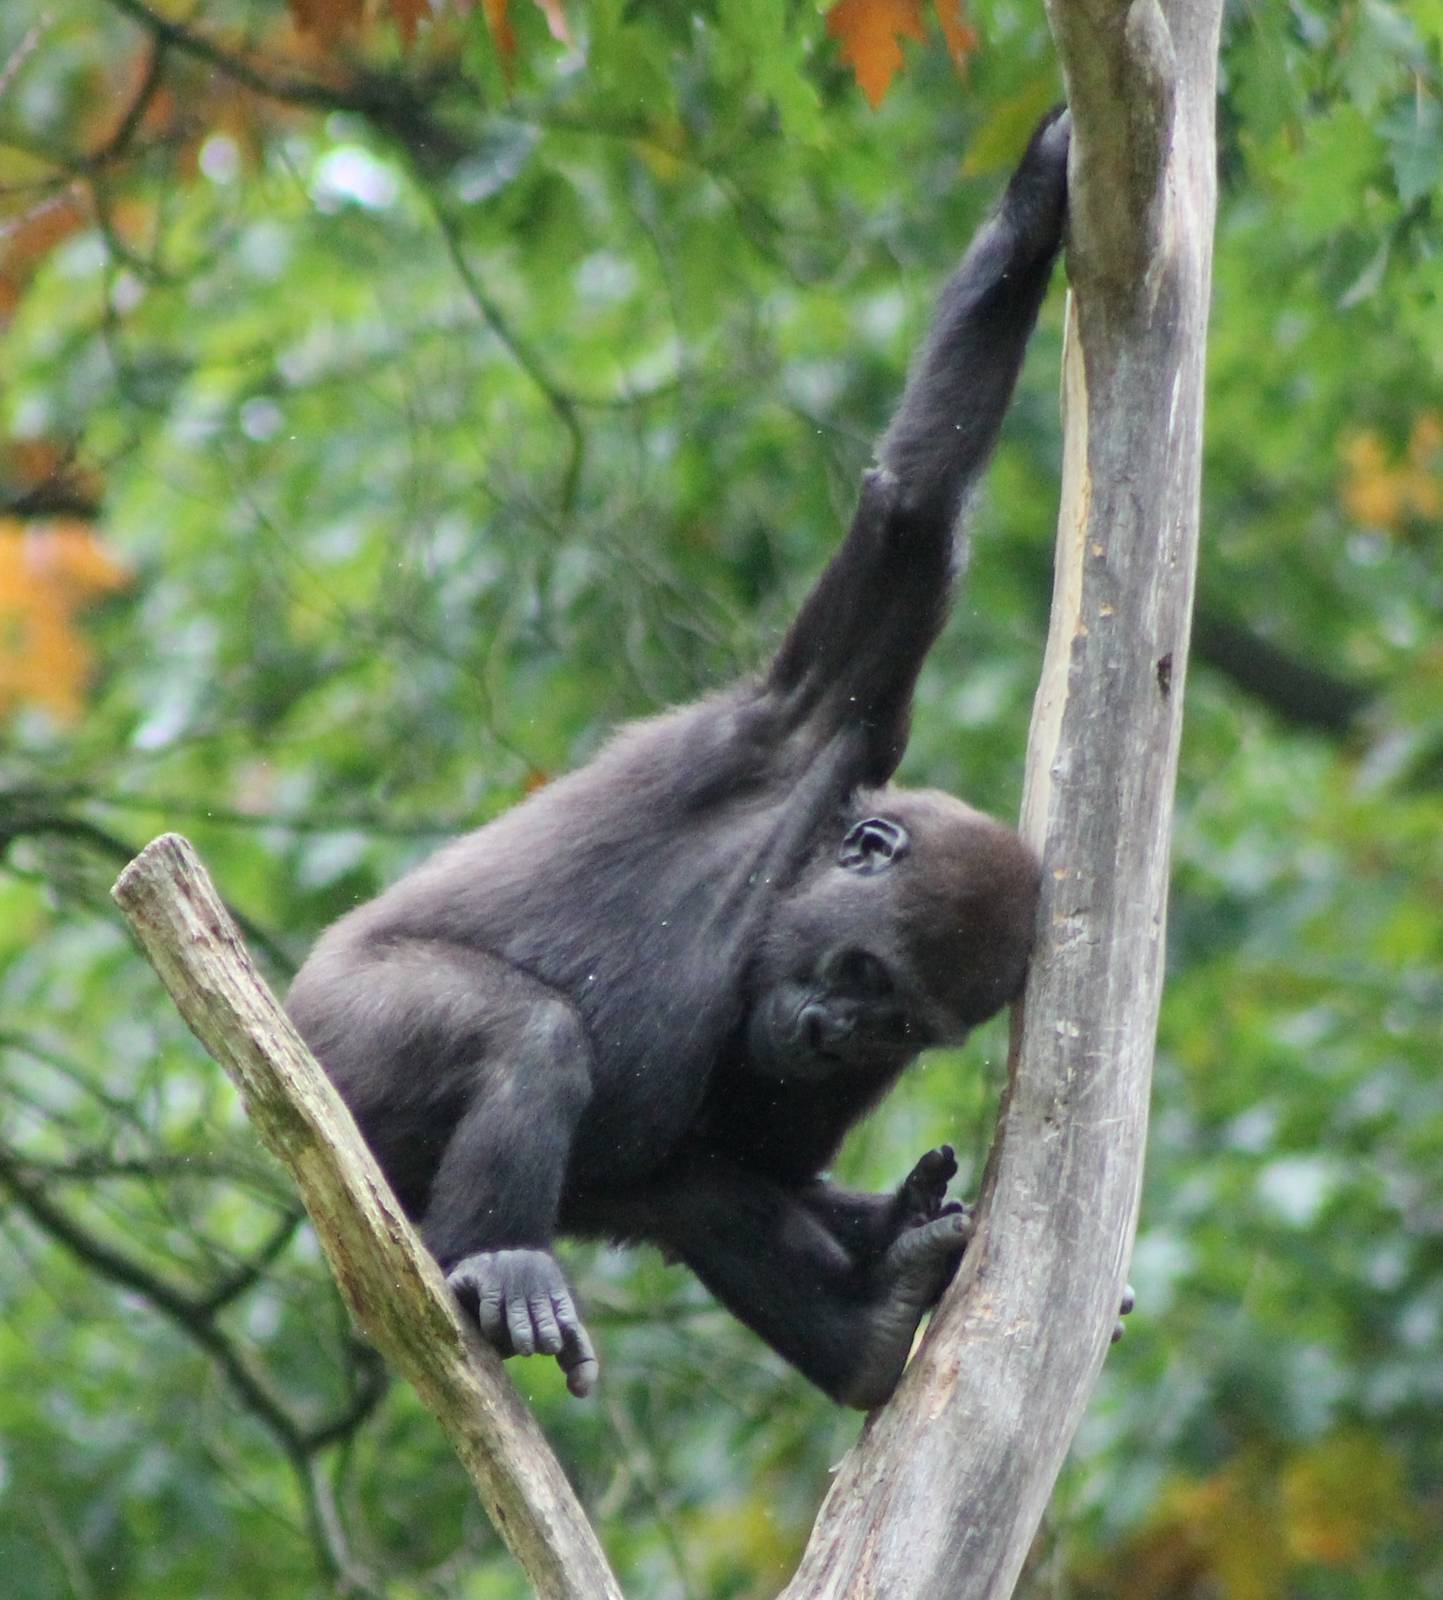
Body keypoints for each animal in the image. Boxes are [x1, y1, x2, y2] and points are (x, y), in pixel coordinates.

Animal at [287, 109, 1070, 1409]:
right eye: (861, 974)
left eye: (897, 1025)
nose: (835, 1033)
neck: (802, 860)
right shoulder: (819, 707)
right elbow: (912, 509)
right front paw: (1037, 210)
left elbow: (761, 1166)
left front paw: (882, 1224)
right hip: (324, 1043)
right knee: (527, 1036)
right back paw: (496, 1259)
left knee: (689, 1189)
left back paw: (866, 1335)